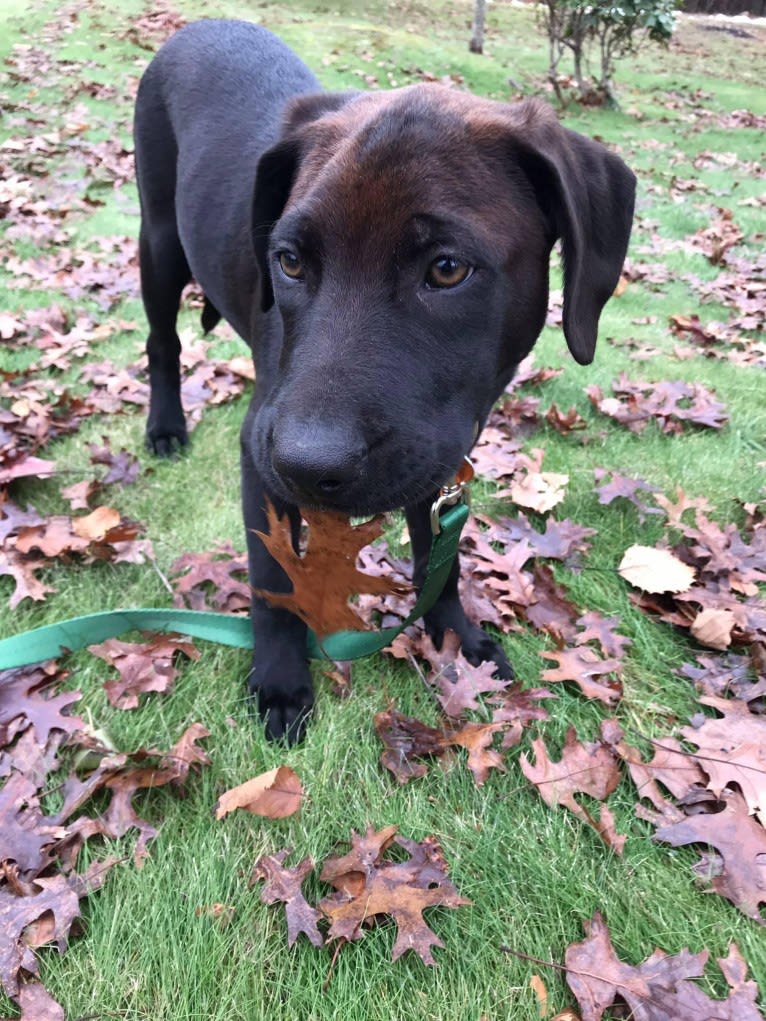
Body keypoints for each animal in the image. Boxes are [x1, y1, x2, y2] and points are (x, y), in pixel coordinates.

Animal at [134, 19, 637, 743]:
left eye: (448, 269)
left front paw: (455, 637)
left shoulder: (435, 454)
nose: (306, 464)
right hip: (159, 239)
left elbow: (440, 557)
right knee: (162, 340)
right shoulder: (259, 446)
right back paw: (166, 426)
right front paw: (281, 680)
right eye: (289, 260)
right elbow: (272, 579)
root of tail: (203, 23)